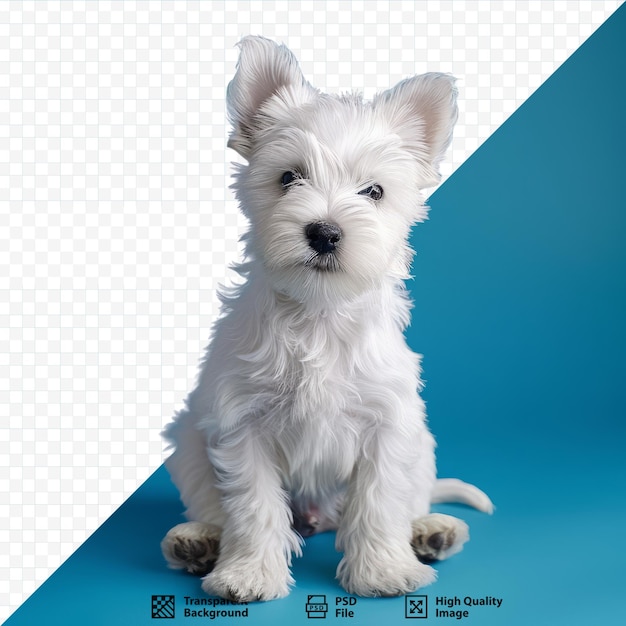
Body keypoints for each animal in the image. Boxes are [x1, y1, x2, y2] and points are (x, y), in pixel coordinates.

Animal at [158, 36, 490, 604]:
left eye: (374, 192)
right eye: (289, 177)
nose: (325, 233)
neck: (318, 315)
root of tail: (318, 517)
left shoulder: (386, 424)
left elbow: (379, 500)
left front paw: (383, 571)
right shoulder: (241, 427)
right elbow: (253, 506)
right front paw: (249, 574)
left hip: (420, 446)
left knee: (410, 499)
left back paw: (430, 531)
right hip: (189, 445)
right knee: (212, 504)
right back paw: (197, 540)